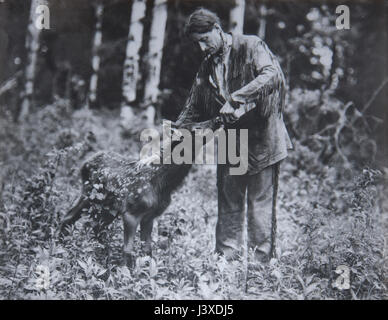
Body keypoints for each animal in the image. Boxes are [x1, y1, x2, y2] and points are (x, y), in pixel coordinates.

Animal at [59, 116, 224, 266]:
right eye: (196, 128)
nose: (217, 118)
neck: (163, 184)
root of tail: (85, 163)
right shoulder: (132, 211)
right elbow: (128, 250)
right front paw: (126, 274)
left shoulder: (150, 216)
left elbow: (147, 251)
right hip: (89, 193)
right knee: (70, 217)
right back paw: (62, 247)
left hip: (107, 207)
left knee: (95, 226)